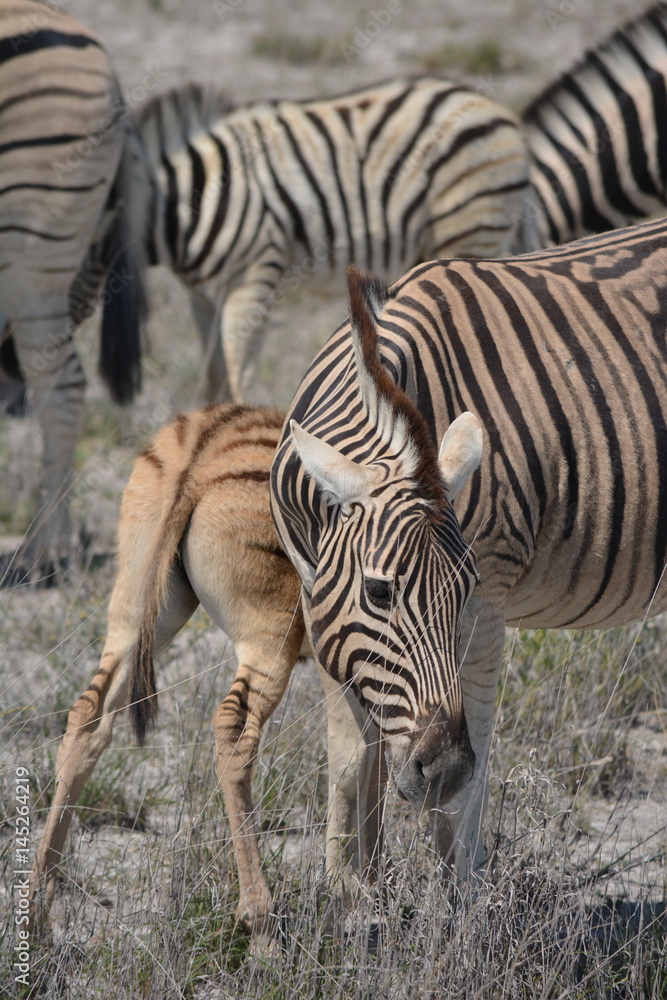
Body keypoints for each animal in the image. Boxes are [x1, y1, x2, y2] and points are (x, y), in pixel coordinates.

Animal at [123, 76, 534, 404]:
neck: (192, 200)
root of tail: (497, 110)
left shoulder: (252, 276)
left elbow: (240, 373)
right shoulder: (202, 296)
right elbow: (215, 377)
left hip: (470, 226)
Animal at [270, 216, 667, 890]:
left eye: (464, 587)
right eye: (379, 591)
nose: (443, 769)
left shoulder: (489, 602)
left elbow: (470, 770)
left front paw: (461, 905)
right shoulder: (322, 606)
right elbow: (352, 763)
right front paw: (348, 893)